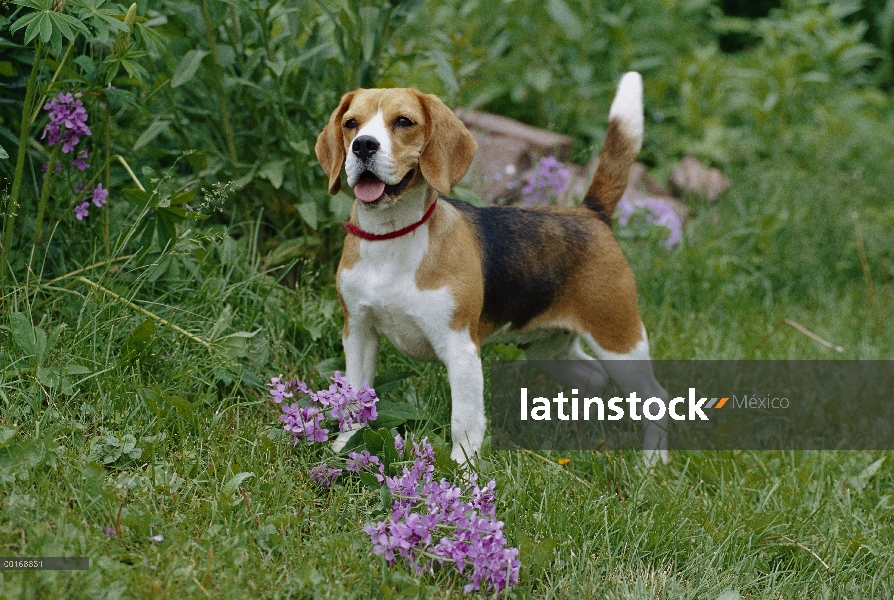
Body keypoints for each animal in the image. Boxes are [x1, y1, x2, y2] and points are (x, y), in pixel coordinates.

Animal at [318, 74, 668, 464]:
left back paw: (652, 462)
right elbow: (353, 399)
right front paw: (344, 447)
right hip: (548, 350)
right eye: (351, 123)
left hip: (619, 340)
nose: (363, 145)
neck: (392, 237)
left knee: (657, 398)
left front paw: (461, 470)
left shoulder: (460, 348)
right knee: (592, 376)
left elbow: (464, 421)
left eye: (404, 122)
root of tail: (591, 213)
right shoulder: (359, 332)